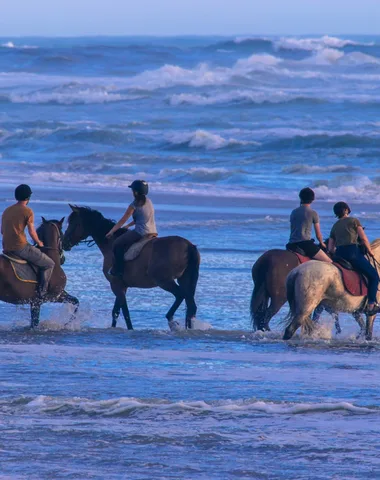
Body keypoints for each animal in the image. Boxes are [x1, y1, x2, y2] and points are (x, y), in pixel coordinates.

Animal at [62, 206, 200, 330]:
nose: (64, 243)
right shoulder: (122, 285)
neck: (110, 244)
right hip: (184, 279)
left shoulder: (116, 285)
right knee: (190, 305)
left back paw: (171, 319)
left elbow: (124, 312)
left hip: (164, 281)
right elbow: (116, 311)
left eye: (74, 223)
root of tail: (188, 246)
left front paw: (129, 329)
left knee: (181, 296)